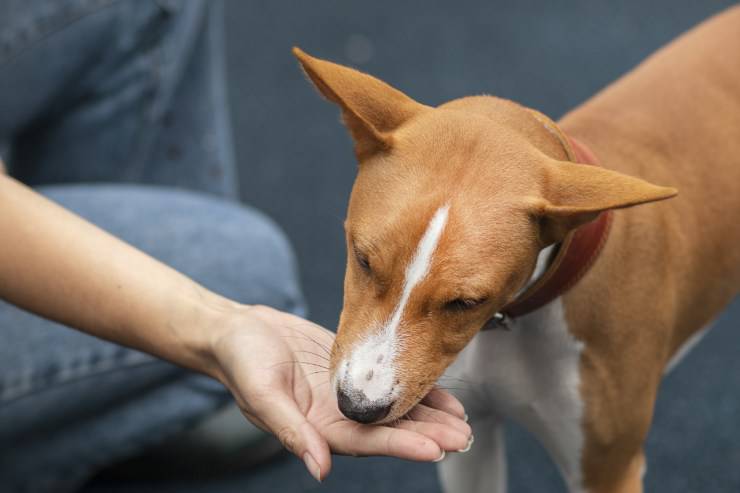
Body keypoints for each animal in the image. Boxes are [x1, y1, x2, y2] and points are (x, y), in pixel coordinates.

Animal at [292, 5, 740, 490]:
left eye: (466, 302)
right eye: (363, 260)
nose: (358, 406)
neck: (514, 319)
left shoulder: (609, 470)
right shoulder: (470, 438)